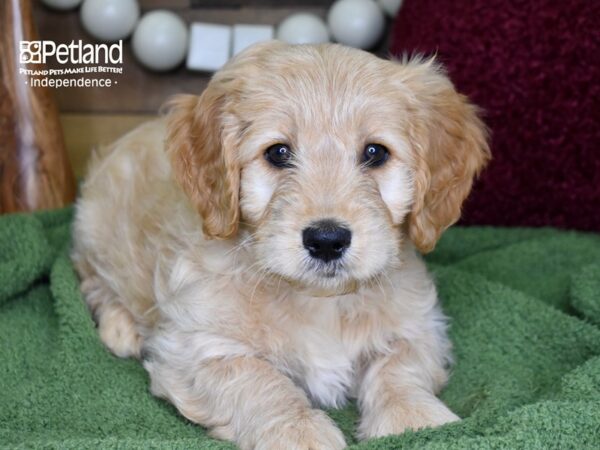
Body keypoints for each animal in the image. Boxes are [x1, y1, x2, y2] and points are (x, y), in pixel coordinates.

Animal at [72, 43, 490, 450]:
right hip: (94, 227)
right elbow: (258, 379)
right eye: (278, 153)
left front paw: (413, 418)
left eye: (375, 153)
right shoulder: (195, 346)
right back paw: (121, 328)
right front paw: (297, 430)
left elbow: (398, 365)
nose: (327, 240)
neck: (321, 303)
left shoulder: (421, 326)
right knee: (93, 279)